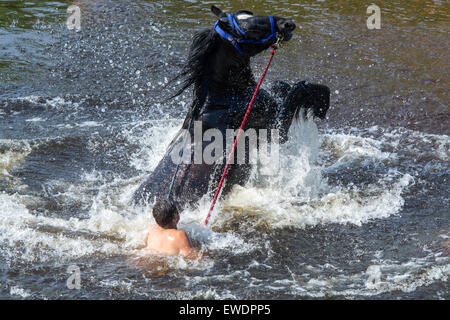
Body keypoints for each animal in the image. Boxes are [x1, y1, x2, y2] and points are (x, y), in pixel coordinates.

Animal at [132, 5, 328, 210]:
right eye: (249, 29)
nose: (288, 23)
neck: (227, 98)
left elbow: (283, 86)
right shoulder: (275, 129)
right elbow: (299, 90)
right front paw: (322, 103)